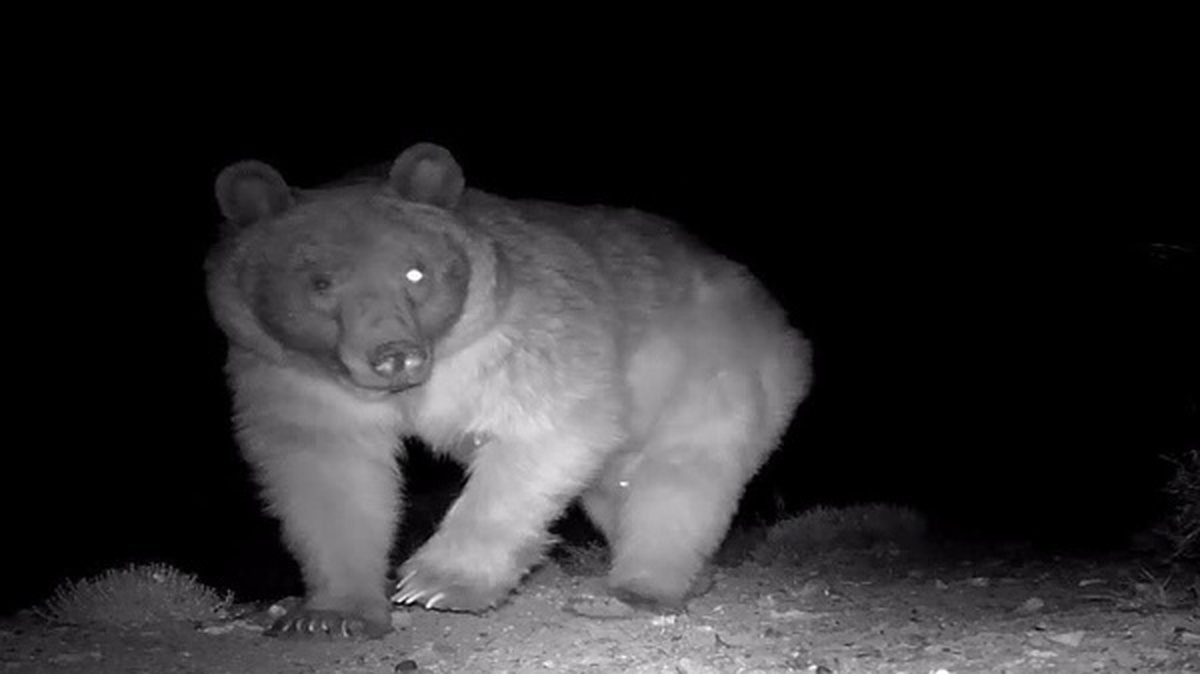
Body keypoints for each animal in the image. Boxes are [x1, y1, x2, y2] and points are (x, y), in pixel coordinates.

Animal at [206, 140, 811, 633]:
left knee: (681, 480)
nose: (395, 355)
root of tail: (786, 332)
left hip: (715, 374)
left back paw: (638, 588)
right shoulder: (290, 376)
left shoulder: (522, 334)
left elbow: (544, 431)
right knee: (618, 489)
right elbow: (326, 473)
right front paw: (332, 614)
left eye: (416, 273)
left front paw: (435, 582)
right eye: (320, 282)